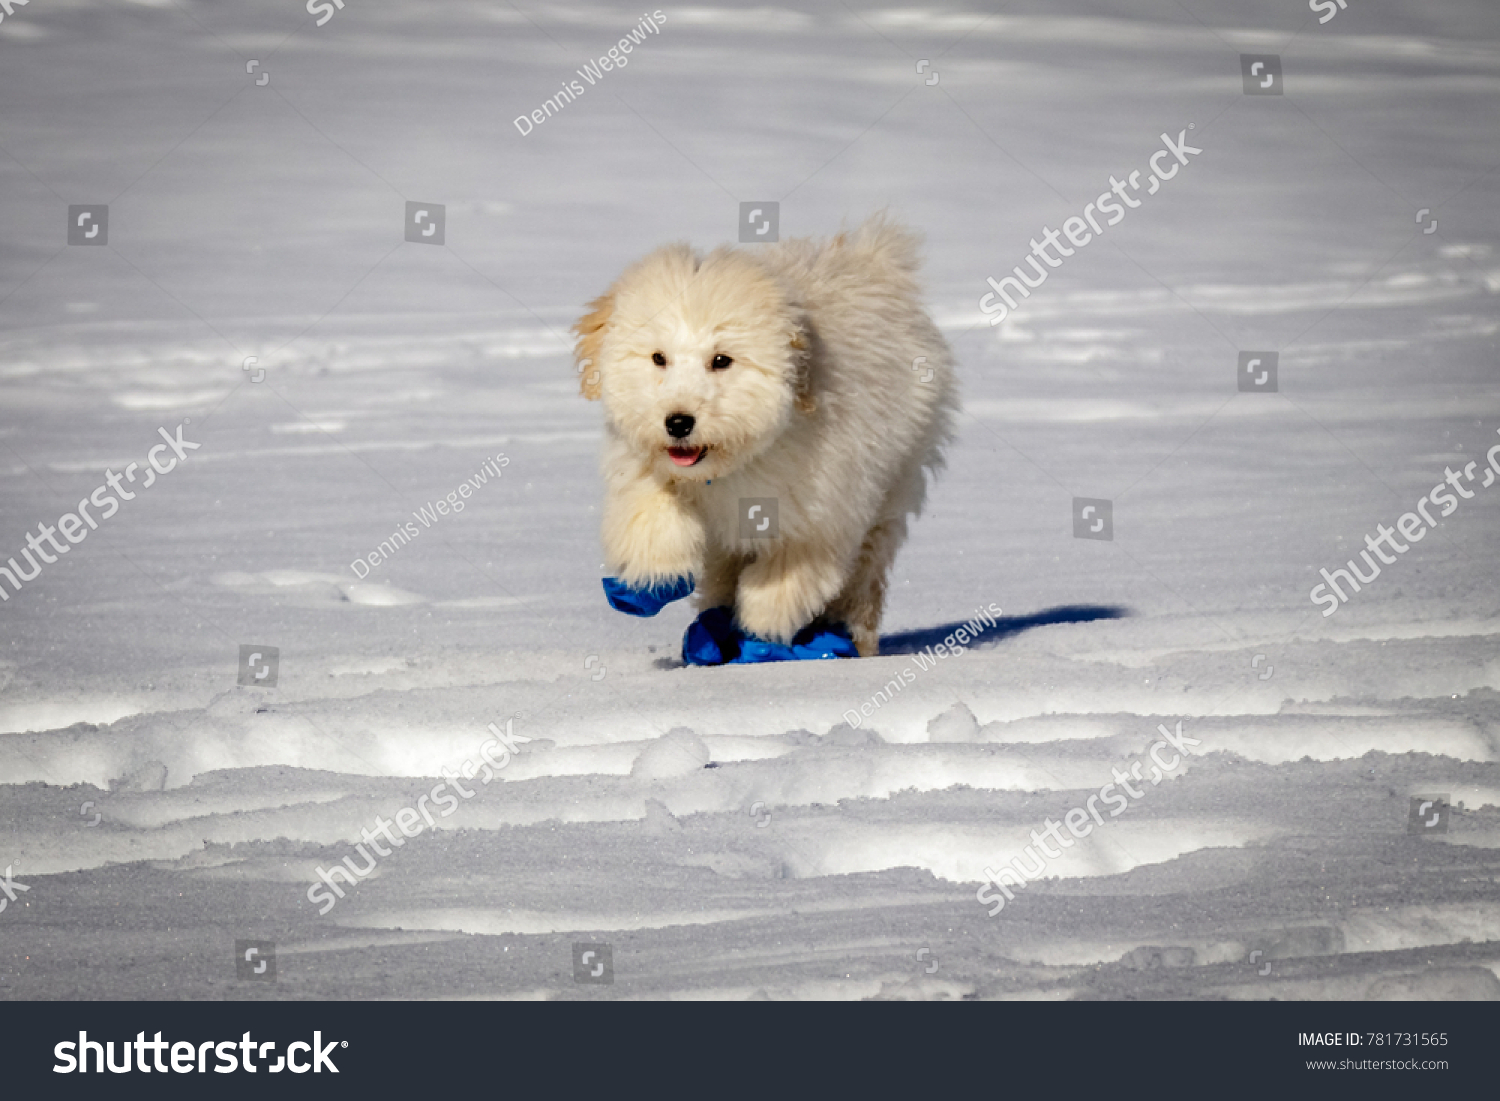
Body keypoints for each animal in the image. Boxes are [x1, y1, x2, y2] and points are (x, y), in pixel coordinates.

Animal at [573, 219, 960, 660]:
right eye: (658, 358)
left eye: (721, 360)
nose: (678, 423)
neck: (728, 467)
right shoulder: (646, 466)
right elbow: (651, 508)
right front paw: (657, 568)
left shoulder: (821, 508)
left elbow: (789, 568)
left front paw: (762, 620)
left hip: (893, 487)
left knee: (864, 578)